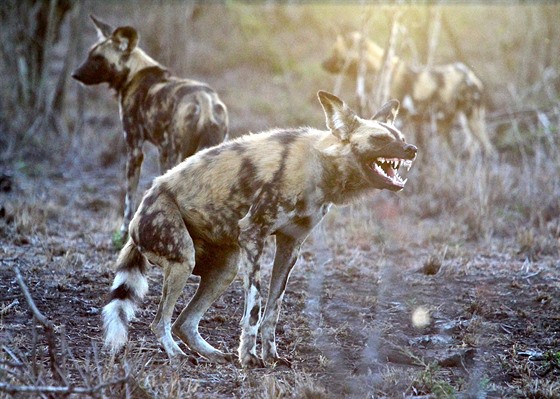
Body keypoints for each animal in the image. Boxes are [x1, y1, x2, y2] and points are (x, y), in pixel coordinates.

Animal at [72, 14, 228, 238]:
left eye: (98, 59)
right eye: (89, 55)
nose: (75, 74)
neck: (133, 73)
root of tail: (205, 100)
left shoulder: (134, 149)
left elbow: (129, 197)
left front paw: (123, 231)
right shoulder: (162, 151)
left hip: (178, 155)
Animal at [101, 90, 416, 368]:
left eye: (400, 138)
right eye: (380, 139)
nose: (411, 149)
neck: (318, 167)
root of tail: (136, 219)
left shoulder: (290, 245)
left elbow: (273, 309)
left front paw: (271, 357)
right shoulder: (254, 234)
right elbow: (255, 307)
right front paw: (250, 358)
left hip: (225, 268)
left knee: (184, 322)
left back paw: (212, 354)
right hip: (183, 259)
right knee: (160, 322)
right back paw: (177, 355)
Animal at [322, 31, 492, 155]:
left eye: (335, 51)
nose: (323, 64)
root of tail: (471, 76)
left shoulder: (399, 120)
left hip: (473, 119)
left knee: (488, 149)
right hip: (452, 121)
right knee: (470, 148)